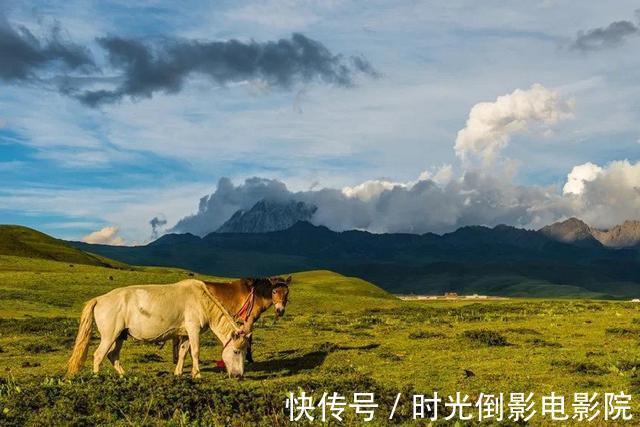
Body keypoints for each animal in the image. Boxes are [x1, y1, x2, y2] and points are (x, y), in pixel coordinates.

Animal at [66, 280, 251, 380]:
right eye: (236, 351)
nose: (239, 376)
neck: (201, 300)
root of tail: (99, 299)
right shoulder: (193, 330)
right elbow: (195, 352)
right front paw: (197, 375)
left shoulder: (185, 334)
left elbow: (183, 352)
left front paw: (178, 373)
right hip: (109, 336)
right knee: (98, 355)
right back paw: (97, 378)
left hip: (119, 337)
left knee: (112, 355)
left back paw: (124, 375)